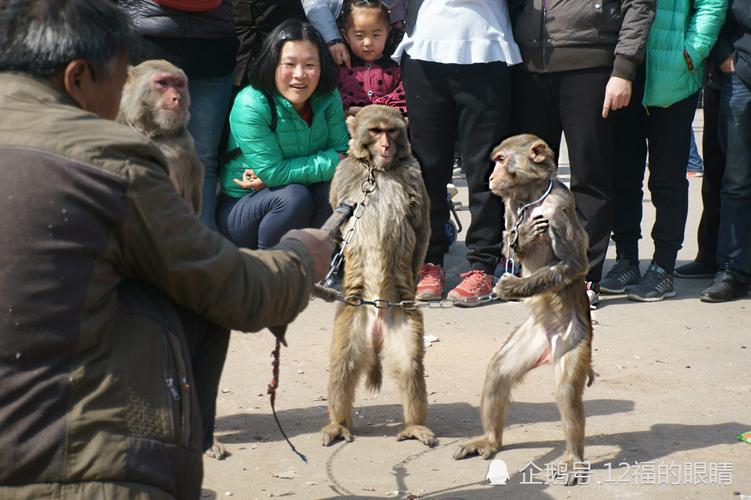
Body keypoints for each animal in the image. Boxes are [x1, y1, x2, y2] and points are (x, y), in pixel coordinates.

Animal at [322, 103, 438, 448]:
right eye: (376, 131)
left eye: (392, 131)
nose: (386, 146)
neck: (379, 171)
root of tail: (376, 322)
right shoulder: (344, 175)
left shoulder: (414, 174)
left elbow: (422, 228)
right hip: (352, 316)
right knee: (343, 365)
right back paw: (338, 423)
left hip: (403, 320)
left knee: (410, 365)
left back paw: (415, 425)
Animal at [456, 133, 596, 484]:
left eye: (501, 159)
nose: (490, 177)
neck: (532, 197)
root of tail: (548, 345)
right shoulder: (510, 206)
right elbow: (510, 248)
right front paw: (522, 240)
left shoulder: (560, 208)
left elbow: (575, 264)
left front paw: (509, 288)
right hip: (531, 337)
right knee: (497, 373)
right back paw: (490, 441)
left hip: (574, 339)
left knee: (566, 393)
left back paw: (574, 457)